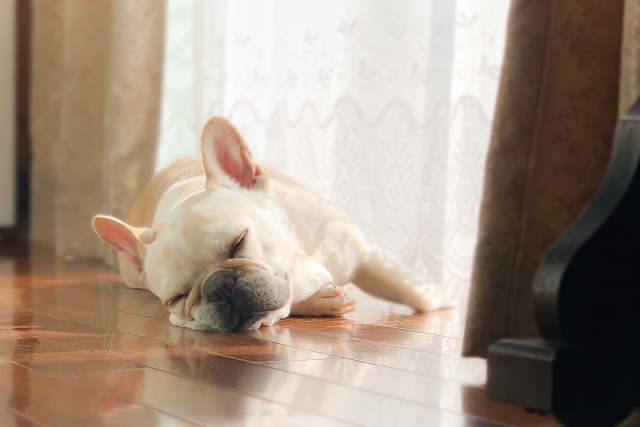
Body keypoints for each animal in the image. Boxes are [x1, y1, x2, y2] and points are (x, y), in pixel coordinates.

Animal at [91, 118, 456, 332]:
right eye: (176, 299)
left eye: (239, 241)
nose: (218, 286)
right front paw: (323, 302)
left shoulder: (362, 251)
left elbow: (418, 294)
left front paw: (443, 298)